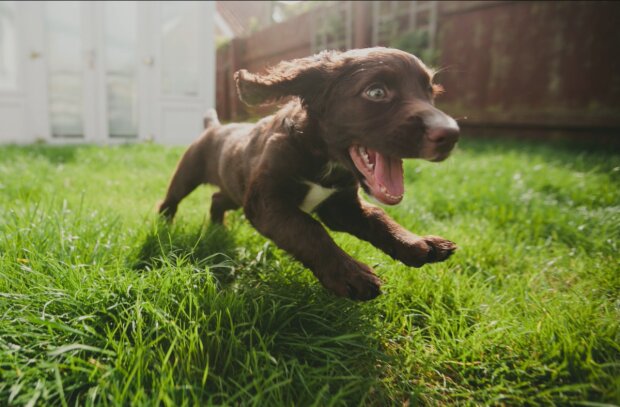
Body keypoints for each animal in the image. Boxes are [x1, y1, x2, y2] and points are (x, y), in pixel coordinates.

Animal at [159, 48, 460, 302]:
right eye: (376, 92)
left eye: (431, 92)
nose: (452, 134)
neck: (322, 160)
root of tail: (215, 126)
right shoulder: (266, 202)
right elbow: (309, 228)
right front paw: (351, 274)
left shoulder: (341, 206)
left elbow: (378, 216)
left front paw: (417, 243)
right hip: (188, 174)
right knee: (170, 200)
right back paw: (164, 227)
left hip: (236, 190)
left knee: (217, 198)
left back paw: (218, 227)